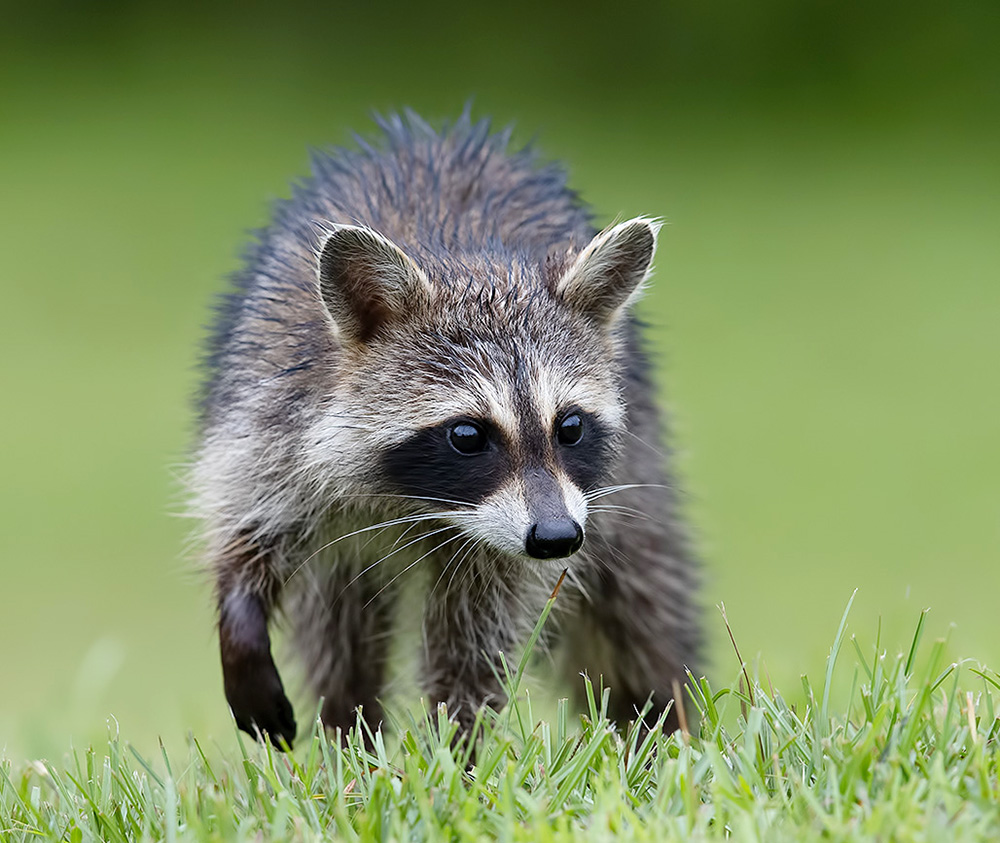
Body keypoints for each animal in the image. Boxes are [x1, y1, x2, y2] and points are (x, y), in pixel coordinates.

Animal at [193, 111, 700, 748]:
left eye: (570, 427)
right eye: (467, 435)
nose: (558, 538)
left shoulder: (526, 531)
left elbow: (473, 644)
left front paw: (455, 748)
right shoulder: (271, 417)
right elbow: (245, 533)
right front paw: (238, 621)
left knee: (642, 604)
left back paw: (662, 725)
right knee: (338, 634)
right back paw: (348, 733)